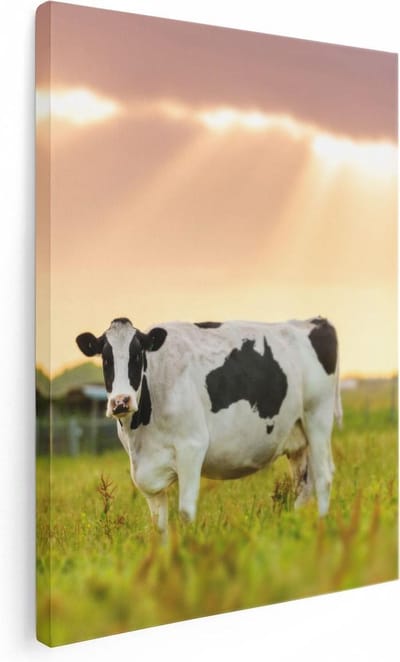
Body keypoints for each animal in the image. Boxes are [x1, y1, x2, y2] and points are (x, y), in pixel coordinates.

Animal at [76, 316, 342, 540]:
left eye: (138, 356)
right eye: (105, 359)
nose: (121, 402)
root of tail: (314, 321)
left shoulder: (191, 447)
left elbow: (185, 512)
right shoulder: (146, 471)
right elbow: (158, 525)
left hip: (317, 418)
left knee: (323, 477)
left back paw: (322, 525)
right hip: (297, 436)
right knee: (303, 486)